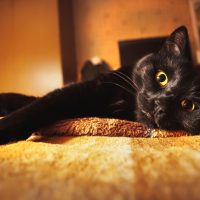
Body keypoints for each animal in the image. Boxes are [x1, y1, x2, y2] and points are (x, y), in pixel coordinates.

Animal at [0, 26, 198, 144]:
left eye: (188, 105)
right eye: (162, 77)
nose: (158, 104)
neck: (126, 102)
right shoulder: (87, 88)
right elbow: (37, 105)